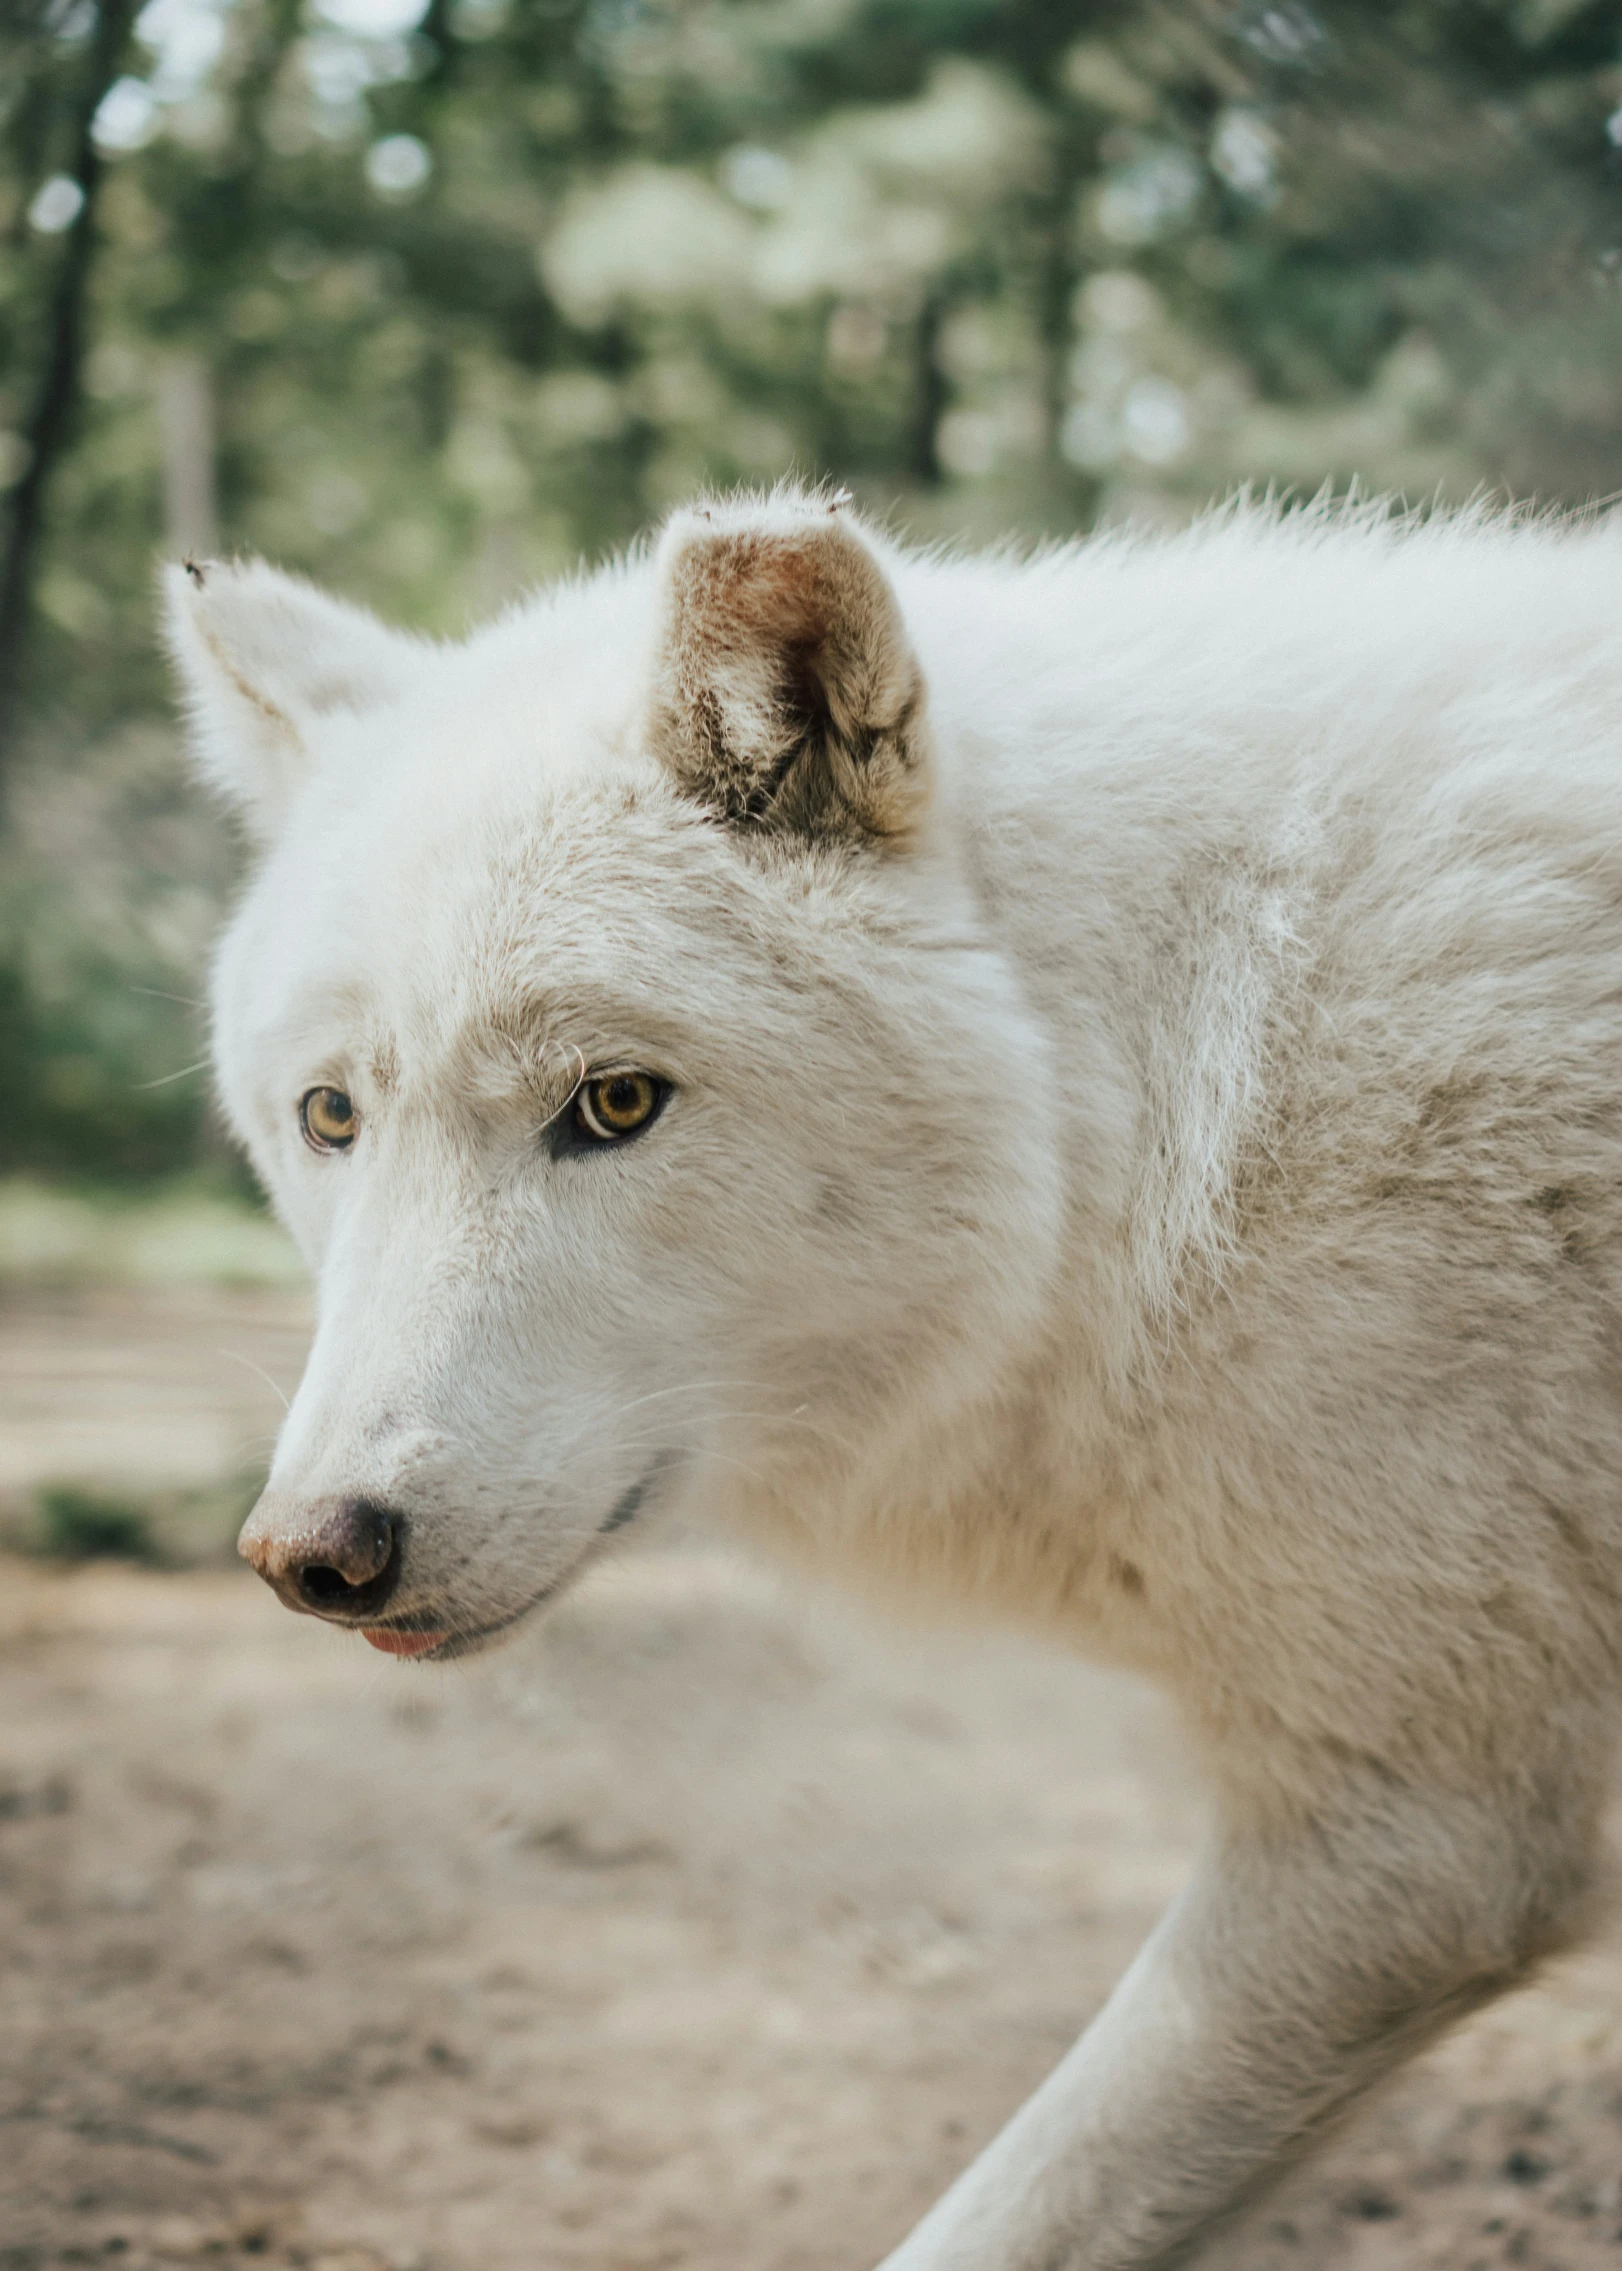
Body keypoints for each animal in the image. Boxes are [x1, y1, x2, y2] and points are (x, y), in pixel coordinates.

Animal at [164, 497, 1617, 2271]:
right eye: (331, 1116)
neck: (1193, 1116)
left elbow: (1005, 2216)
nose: (311, 1551)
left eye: (615, 1101)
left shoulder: (1411, 1832)